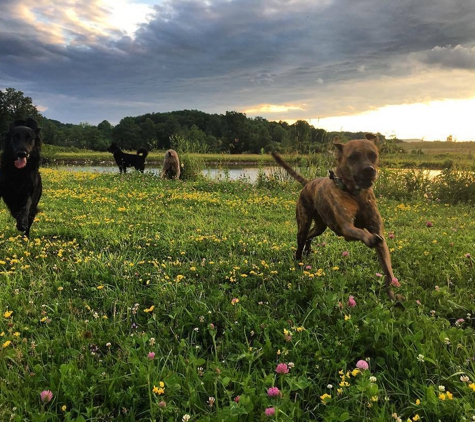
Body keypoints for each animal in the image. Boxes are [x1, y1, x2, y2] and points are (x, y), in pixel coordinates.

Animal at [274, 134, 400, 302]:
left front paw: (393, 295)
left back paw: (308, 251)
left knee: (310, 236)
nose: (369, 169)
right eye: (353, 157)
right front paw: (370, 238)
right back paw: (299, 260)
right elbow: (361, 232)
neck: (356, 195)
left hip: (320, 226)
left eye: (373, 155)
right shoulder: (347, 228)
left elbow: (387, 269)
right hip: (304, 222)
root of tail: (309, 183)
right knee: (301, 240)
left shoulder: (378, 232)